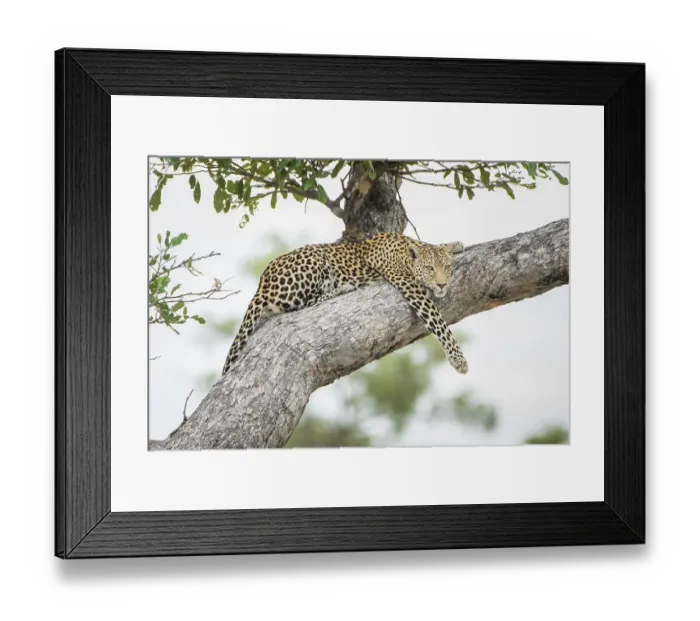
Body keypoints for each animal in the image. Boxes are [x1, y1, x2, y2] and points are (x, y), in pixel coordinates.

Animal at [221, 232, 468, 376]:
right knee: (303, 303)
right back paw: (342, 289)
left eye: (447, 268)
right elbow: (437, 320)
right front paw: (458, 359)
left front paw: (455, 244)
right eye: (429, 269)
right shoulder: (407, 283)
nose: (443, 285)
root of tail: (261, 284)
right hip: (313, 260)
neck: (406, 253)